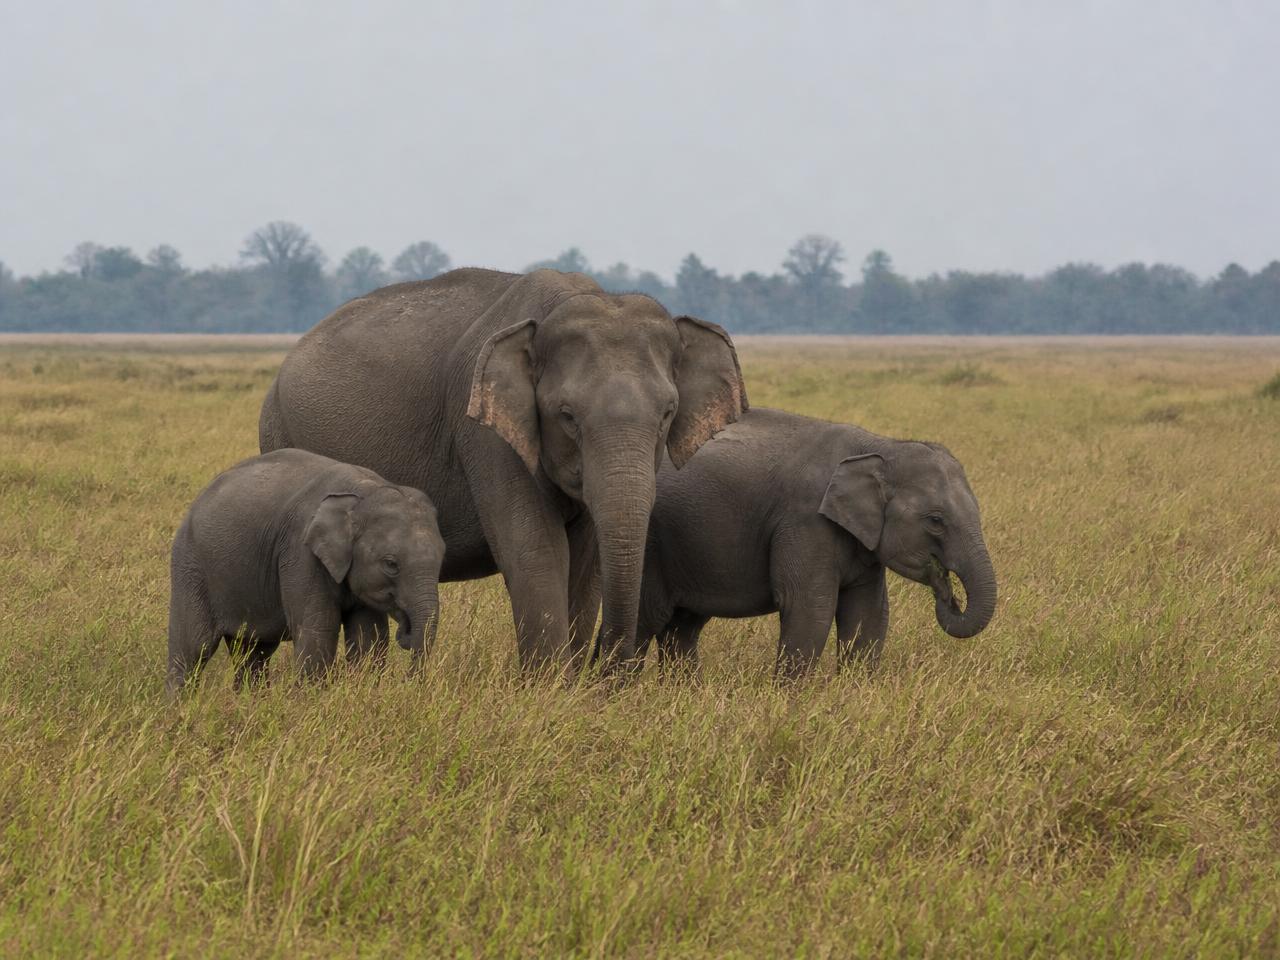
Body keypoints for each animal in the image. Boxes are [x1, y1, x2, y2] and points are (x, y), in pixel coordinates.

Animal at [167, 448, 446, 695]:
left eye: (443, 557)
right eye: (391, 564)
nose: (406, 633)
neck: (365, 491)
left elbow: (369, 637)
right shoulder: (300, 553)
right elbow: (318, 632)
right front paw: (312, 701)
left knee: (253, 652)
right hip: (191, 567)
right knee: (193, 647)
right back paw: (179, 711)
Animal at [258, 268, 746, 673]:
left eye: (667, 414)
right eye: (567, 416)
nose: (606, 671)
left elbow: (586, 558)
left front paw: (570, 687)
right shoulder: (485, 431)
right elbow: (536, 548)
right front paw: (549, 688)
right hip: (279, 428)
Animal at [636, 407, 997, 678]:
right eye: (935, 521)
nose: (948, 594)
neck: (881, 446)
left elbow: (868, 613)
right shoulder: (805, 521)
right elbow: (810, 608)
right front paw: (789, 703)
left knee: (682, 627)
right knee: (648, 619)